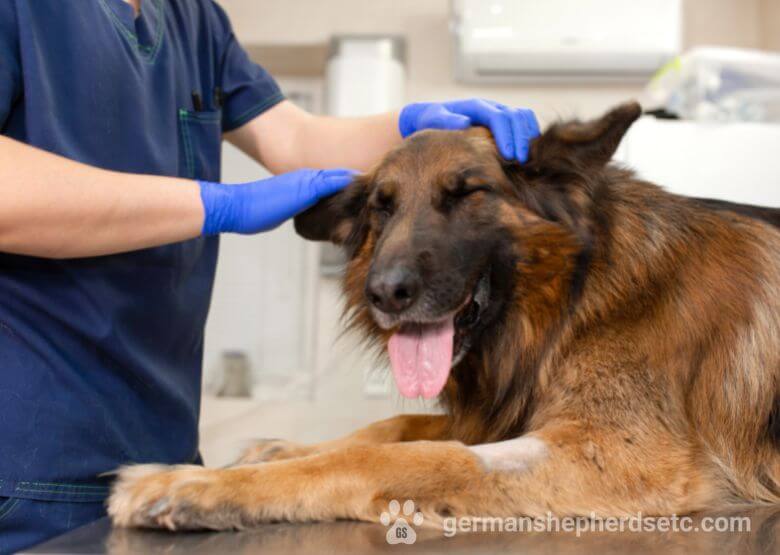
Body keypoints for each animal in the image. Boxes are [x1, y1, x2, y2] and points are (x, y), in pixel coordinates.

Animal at [108, 102, 780, 532]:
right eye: (381, 208)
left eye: (466, 194)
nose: (385, 294)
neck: (575, 296)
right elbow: (397, 425)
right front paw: (280, 451)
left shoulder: (618, 457)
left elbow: (414, 456)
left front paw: (197, 485)